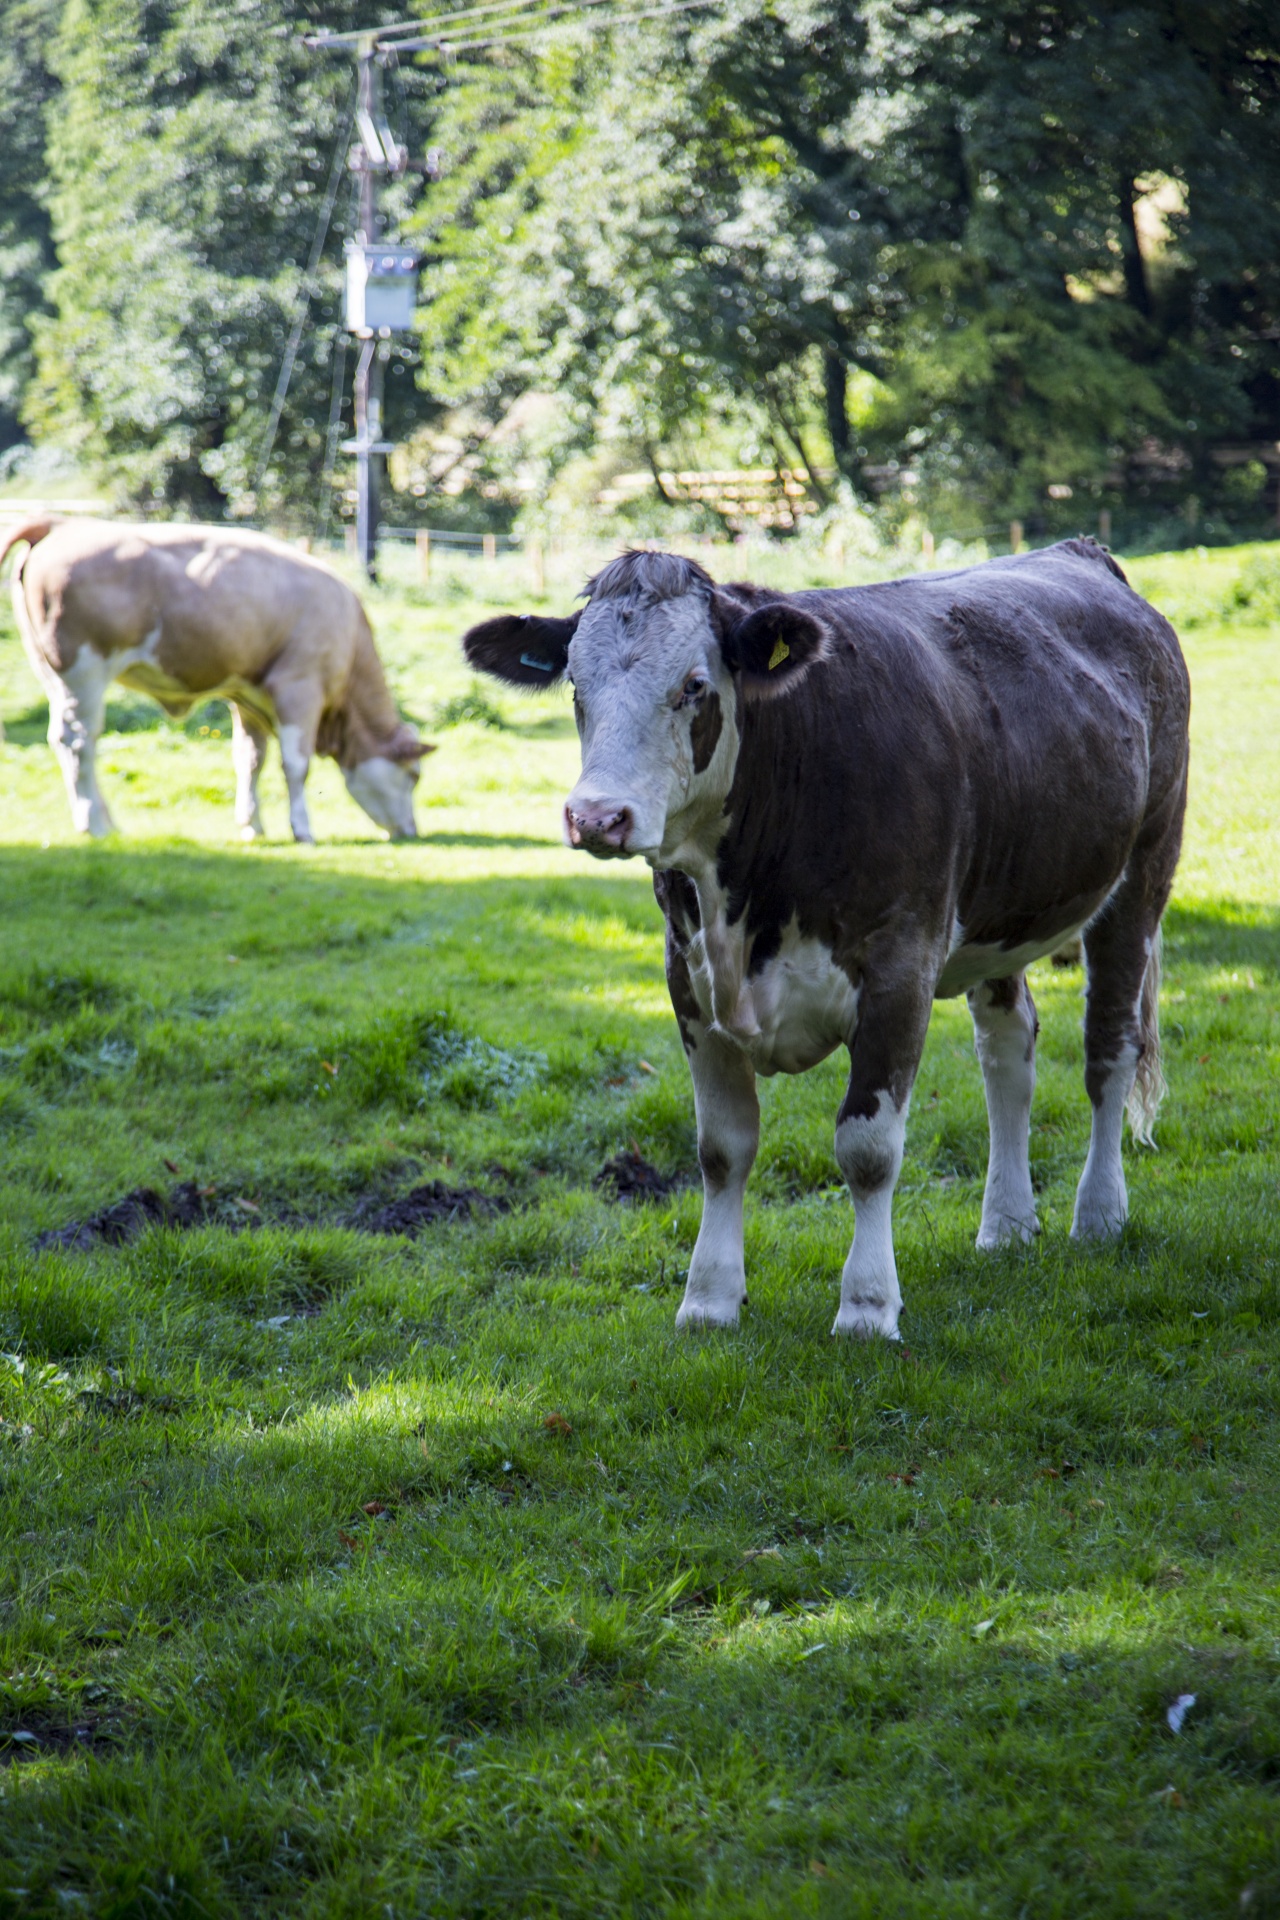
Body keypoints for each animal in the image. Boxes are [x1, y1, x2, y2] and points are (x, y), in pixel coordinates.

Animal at [1, 518, 435, 840]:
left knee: (64, 739)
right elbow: (296, 765)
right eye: (413, 775)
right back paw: (93, 823)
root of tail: (63, 524)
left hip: (51, 672)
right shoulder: (299, 689)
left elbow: (250, 759)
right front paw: (302, 830)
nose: (410, 831)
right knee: (77, 740)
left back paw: (107, 821)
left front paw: (252, 825)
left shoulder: (247, 697)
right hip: (84, 671)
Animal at [466, 545, 1197, 1336]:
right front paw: (709, 1298)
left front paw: (868, 1306)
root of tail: (1080, 552)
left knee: (1110, 1049)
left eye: (693, 685)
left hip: (1142, 873)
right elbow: (722, 1148)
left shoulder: (900, 969)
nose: (597, 817)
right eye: (577, 683)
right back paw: (1006, 1224)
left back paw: (1098, 1216)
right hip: (1001, 913)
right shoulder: (687, 979)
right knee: (1009, 1054)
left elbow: (867, 1149)